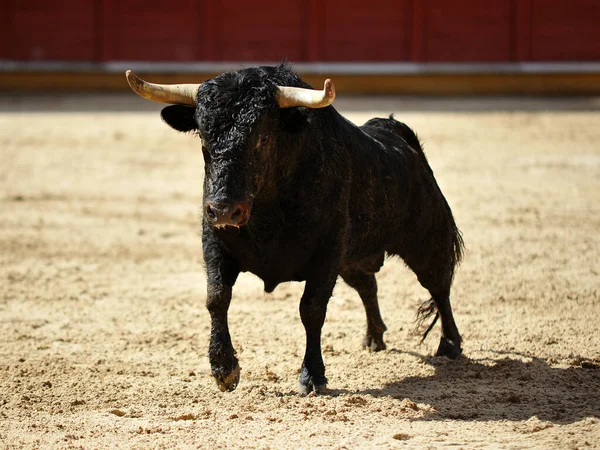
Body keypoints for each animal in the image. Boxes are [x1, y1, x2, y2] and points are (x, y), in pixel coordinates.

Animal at [126, 63, 464, 394]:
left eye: (262, 138)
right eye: (204, 139)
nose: (223, 209)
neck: (268, 210)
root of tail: (400, 138)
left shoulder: (326, 254)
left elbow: (311, 309)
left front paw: (312, 376)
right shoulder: (215, 243)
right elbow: (217, 297)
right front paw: (224, 370)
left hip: (427, 241)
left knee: (439, 286)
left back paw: (450, 345)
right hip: (353, 258)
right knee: (369, 286)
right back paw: (374, 338)